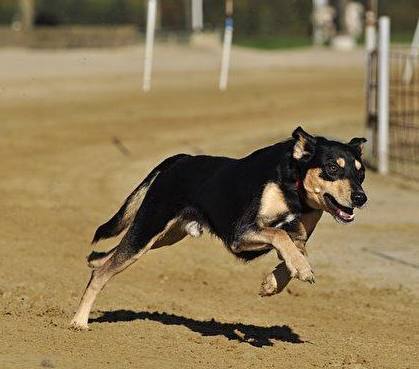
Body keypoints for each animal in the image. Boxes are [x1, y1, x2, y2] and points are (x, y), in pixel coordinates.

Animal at [71, 127, 368, 330]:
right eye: (332, 168)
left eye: (361, 172)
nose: (360, 198)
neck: (293, 187)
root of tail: (181, 159)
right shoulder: (241, 233)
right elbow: (279, 234)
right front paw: (302, 270)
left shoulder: (298, 236)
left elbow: (293, 249)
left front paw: (273, 282)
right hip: (149, 227)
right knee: (102, 273)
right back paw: (79, 321)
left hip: (164, 235)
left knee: (105, 259)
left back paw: (93, 263)